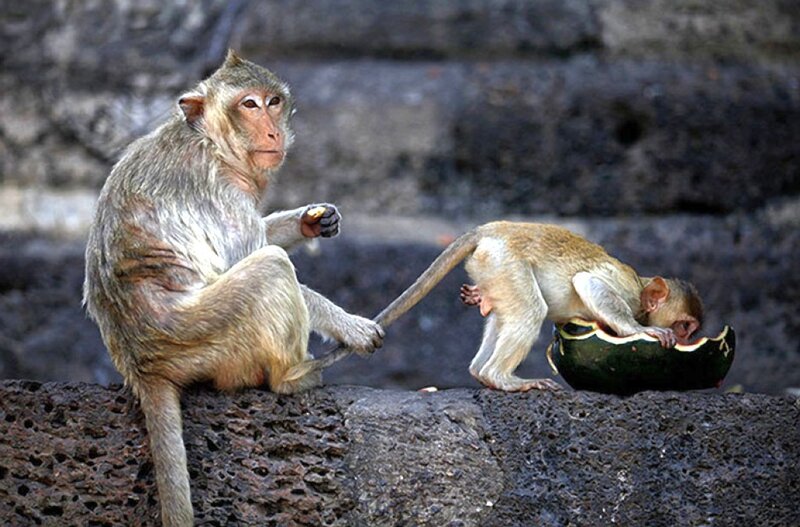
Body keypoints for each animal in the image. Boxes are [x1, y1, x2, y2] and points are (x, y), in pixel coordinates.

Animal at [83, 50, 383, 527]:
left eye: (273, 102)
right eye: (249, 105)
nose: (273, 130)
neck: (209, 142)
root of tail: (140, 366)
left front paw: (311, 220)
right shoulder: (219, 190)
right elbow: (246, 256)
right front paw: (351, 326)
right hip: (204, 338)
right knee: (271, 268)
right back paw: (291, 377)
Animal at [301, 221, 704, 393]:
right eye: (685, 328)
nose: (688, 340)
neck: (641, 288)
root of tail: (492, 229)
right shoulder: (623, 288)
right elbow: (588, 284)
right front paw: (642, 331)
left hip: (492, 270)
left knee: (507, 313)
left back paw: (481, 373)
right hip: (504, 261)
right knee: (529, 310)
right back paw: (500, 377)